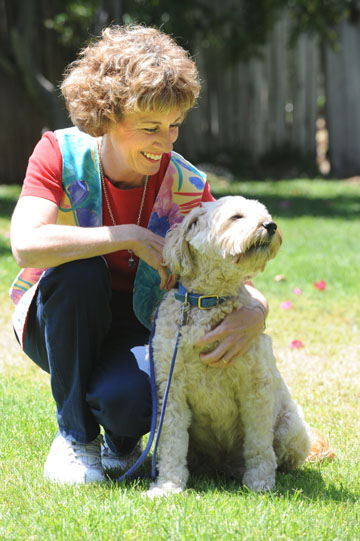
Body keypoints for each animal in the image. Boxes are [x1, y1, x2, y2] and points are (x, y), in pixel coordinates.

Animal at [149, 196, 312, 496]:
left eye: (264, 214)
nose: (270, 225)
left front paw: (260, 482)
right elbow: (172, 443)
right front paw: (168, 485)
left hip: (291, 427)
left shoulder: (255, 387)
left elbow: (259, 443)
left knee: (282, 455)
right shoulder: (170, 389)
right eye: (236, 217)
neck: (210, 301)